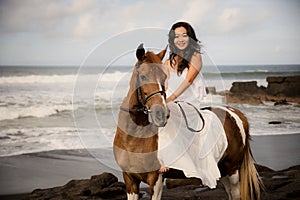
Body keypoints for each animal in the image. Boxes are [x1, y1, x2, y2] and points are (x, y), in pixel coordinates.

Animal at [113, 44, 262, 200]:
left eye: (164, 77)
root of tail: (236, 113)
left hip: (232, 170)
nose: (161, 114)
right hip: (222, 170)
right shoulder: (129, 179)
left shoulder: (156, 179)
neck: (134, 138)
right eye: (143, 76)